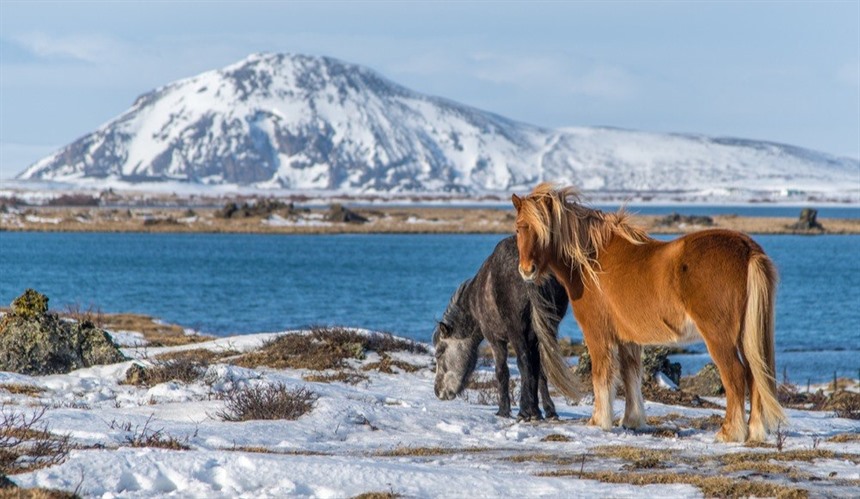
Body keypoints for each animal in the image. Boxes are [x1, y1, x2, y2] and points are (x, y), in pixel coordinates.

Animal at [434, 236, 580, 420]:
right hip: (548, 327)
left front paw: (504, 410)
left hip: (516, 331)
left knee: (523, 363)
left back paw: (524, 411)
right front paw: (541, 410)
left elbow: (502, 371)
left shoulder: (496, 339)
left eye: (439, 352)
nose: (438, 391)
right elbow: (538, 370)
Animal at [510, 185, 788, 446]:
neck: (590, 261)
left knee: (736, 376)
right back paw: (755, 433)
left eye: (539, 229)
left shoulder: (598, 334)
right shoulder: (628, 339)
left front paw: (598, 421)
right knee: (755, 375)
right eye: (519, 229)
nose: (526, 270)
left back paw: (730, 433)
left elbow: (602, 376)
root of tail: (747, 249)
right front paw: (632, 420)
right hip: (744, 336)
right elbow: (631, 375)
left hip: (719, 338)